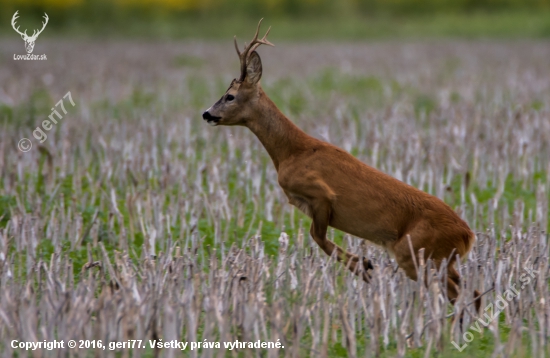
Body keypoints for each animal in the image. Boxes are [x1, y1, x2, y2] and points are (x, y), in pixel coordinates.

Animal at [204, 19, 484, 312]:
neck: (291, 151)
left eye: (230, 96)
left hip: (415, 252)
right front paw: (364, 265)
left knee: (455, 293)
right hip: (441, 259)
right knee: (472, 292)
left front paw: (363, 266)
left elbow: (317, 237)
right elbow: (318, 238)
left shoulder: (321, 194)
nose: (206, 114)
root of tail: (467, 234)